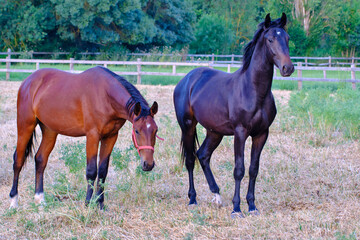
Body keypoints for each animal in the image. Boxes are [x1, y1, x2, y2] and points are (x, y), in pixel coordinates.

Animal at [9, 65, 159, 208]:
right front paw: (87, 203)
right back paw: (13, 201)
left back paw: (40, 199)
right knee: (18, 160)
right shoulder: (92, 136)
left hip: (50, 131)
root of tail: (28, 81)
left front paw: (100, 204)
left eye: (155, 131)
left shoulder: (111, 136)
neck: (105, 96)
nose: (148, 164)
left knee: (40, 159)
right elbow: (92, 170)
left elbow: (103, 171)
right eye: (137, 131)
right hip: (25, 126)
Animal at [173, 12, 294, 218]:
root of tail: (186, 80)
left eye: (287, 38)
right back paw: (193, 199)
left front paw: (252, 206)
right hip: (187, 126)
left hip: (215, 132)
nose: (288, 68)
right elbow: (239, 169)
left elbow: (253, 169)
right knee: (190, 160)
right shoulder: (240, 133)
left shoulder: (261, 134)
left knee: (203, 155)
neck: (253, 90)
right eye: (270, 39)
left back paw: (216, 195)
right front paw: (236, 209)